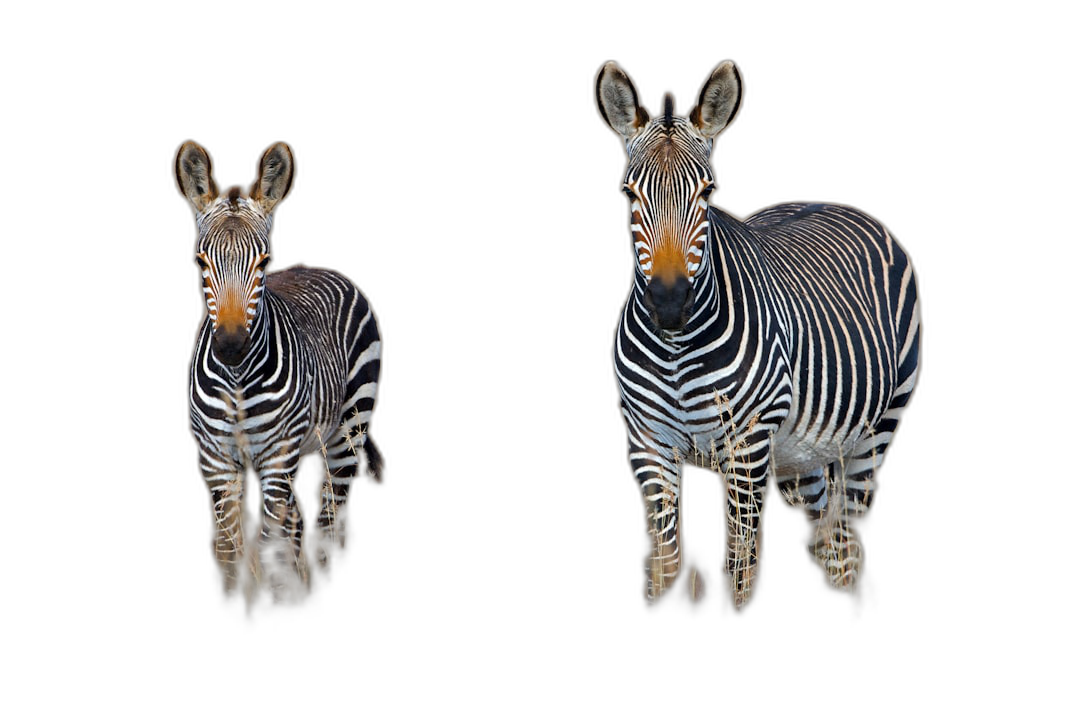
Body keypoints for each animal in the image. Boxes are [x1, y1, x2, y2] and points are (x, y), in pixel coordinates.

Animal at [173, 139, 384, 604]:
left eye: (264, 262)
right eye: (200, 262)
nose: (231, 347)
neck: (236, 382)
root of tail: (315, 266)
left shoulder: (276, 458)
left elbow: (270, 552)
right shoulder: (216, 462)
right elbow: (230, 552)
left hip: (347, 432)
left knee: (329, 522)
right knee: (299, 523)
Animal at [600, 62, 920, 613]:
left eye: (707, 192)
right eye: (629, 194)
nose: (669, 304)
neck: (676, 350)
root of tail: (828, 199)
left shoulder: (746, 447)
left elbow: (740, 571)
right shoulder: (648, 447)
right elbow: (664, 567)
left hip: (873, 433)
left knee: (849, 542)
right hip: (801, 454)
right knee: (828, 543)